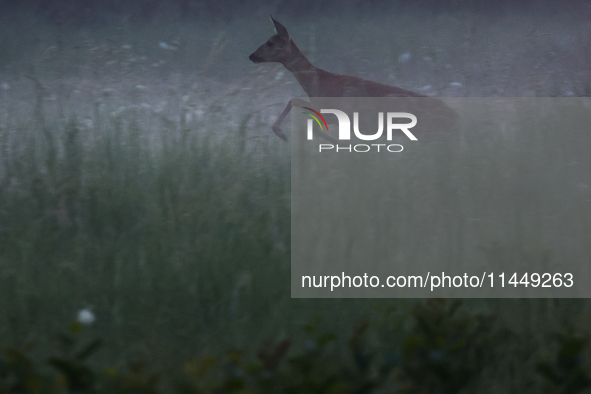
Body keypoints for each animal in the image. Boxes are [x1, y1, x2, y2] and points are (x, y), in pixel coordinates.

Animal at [249, 16, 454, 142]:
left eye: (270, 43)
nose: (252, 55)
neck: (318, 82)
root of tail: (456, 119)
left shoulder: (337, 111)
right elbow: (295, 101)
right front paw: (280, 133)